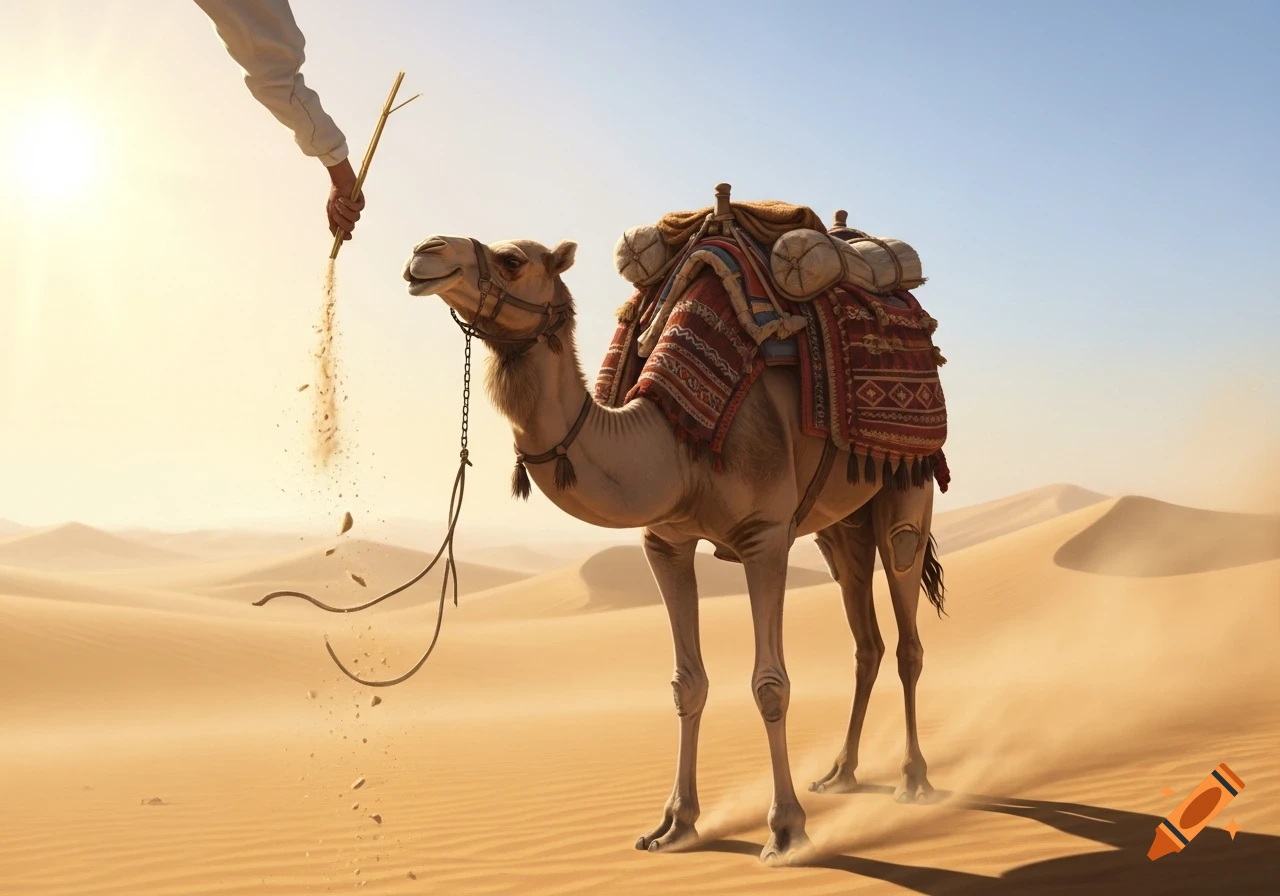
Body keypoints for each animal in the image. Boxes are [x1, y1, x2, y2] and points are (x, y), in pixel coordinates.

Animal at [402, 231, 945, 866]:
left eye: (512, 260)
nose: (426, 252)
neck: (677, 446)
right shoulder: (664, 541)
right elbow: (688, 683)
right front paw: (674, 825)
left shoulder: (764, 536)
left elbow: (770, 685)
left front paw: (786, 830)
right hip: (839, 523)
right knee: (866, 637)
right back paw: (841, 773)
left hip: (908, 481)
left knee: (907, 620)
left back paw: (914, 780)